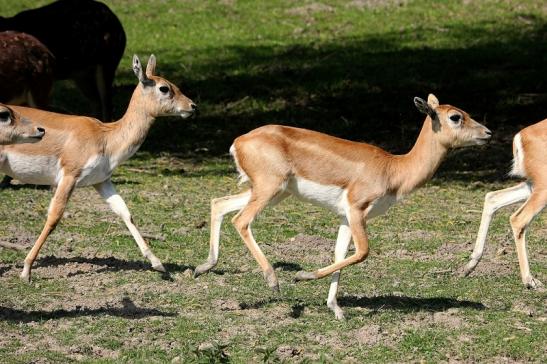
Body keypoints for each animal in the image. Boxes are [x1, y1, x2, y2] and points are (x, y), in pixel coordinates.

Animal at [0, 54, 197, 282]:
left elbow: (125, 212)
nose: (192, 106)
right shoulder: (69, 176)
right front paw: (26, 270)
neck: (106, 137)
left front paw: (158, 264)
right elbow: (54, 217)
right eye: (164, 88)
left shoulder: (101, 181)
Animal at [196, 94, 492, 318]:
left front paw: (336, 309)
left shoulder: (345, 217)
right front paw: (302, 275)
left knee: (219, 203)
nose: (487, 133)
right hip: (269, 189)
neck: (393, 168)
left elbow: (339, 254)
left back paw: (203, 267)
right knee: (241, 220)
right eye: (455, 116)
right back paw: (273, 281)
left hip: (272, 192)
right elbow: (362, 252)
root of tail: (239, 141)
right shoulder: (357, 209)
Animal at [462, 121, 547, 288]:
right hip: (542, 187)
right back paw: (529, 281)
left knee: (492, 197)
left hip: (533, 185)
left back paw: (469, 266)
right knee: (518, 219)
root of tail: (521, 136)